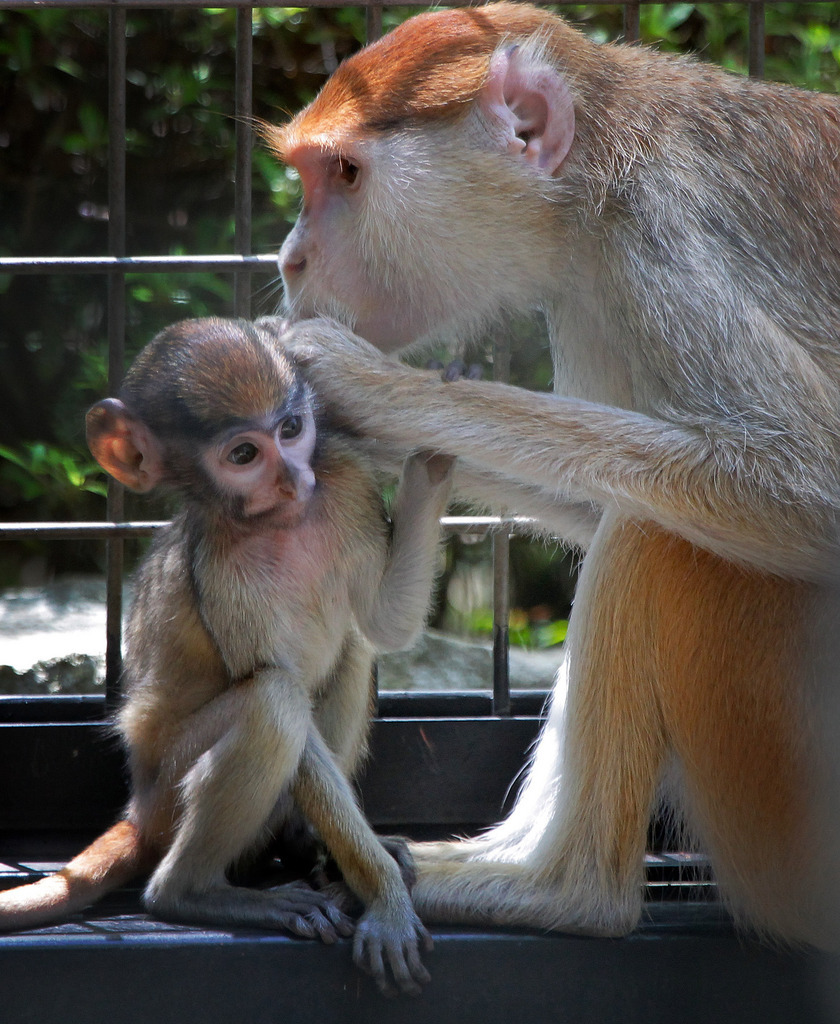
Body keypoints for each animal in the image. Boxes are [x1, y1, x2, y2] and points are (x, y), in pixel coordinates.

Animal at [0, 315, 452, 995]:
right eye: (244, 455)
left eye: (290, 429)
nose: (292, 479)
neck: (279, 523)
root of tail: (140, 807)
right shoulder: (218, 566)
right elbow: (283, 685)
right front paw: (386, 898)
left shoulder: (342, 476)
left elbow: (384, 620)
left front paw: (432, 460)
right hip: (170, 786)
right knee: (272, 700)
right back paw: (190, 893)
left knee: (351, 651)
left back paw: (306, 844)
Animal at [266, 0, 840, 946]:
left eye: (344, 172)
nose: (291, 260)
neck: (595, 173)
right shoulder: (592, 286)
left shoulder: (661, 239)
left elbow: (805, 484)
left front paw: (366, 387)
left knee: (656, 533)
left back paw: (562, 889)